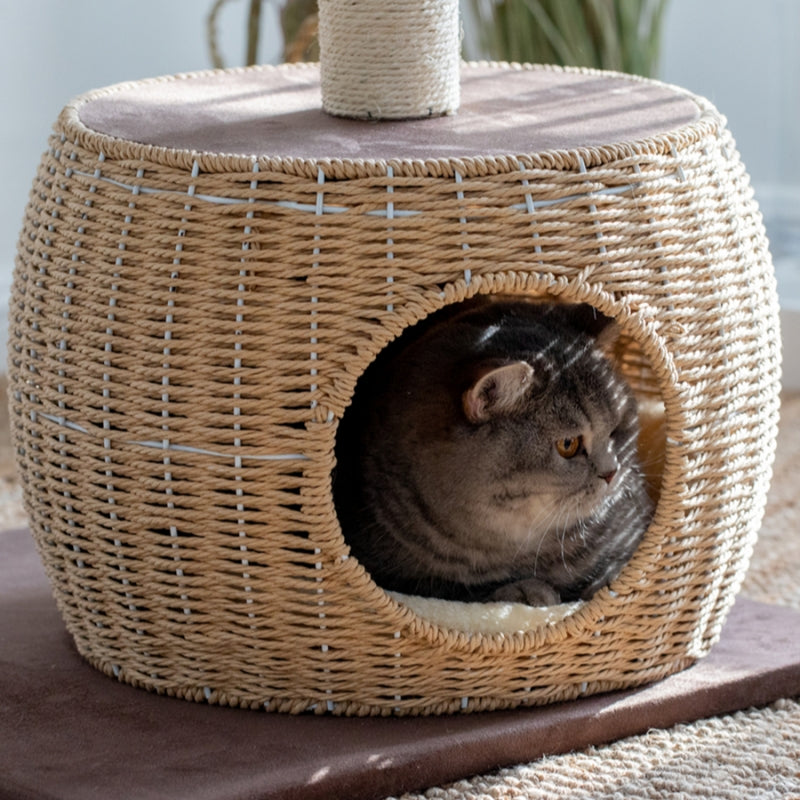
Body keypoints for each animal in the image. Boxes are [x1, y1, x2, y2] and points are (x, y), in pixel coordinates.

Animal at [334, 298, 652, 608]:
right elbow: (454, 590)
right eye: (568, 445)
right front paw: (525, 591)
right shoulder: (388, 572)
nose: (611, 472)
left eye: (615, 430)